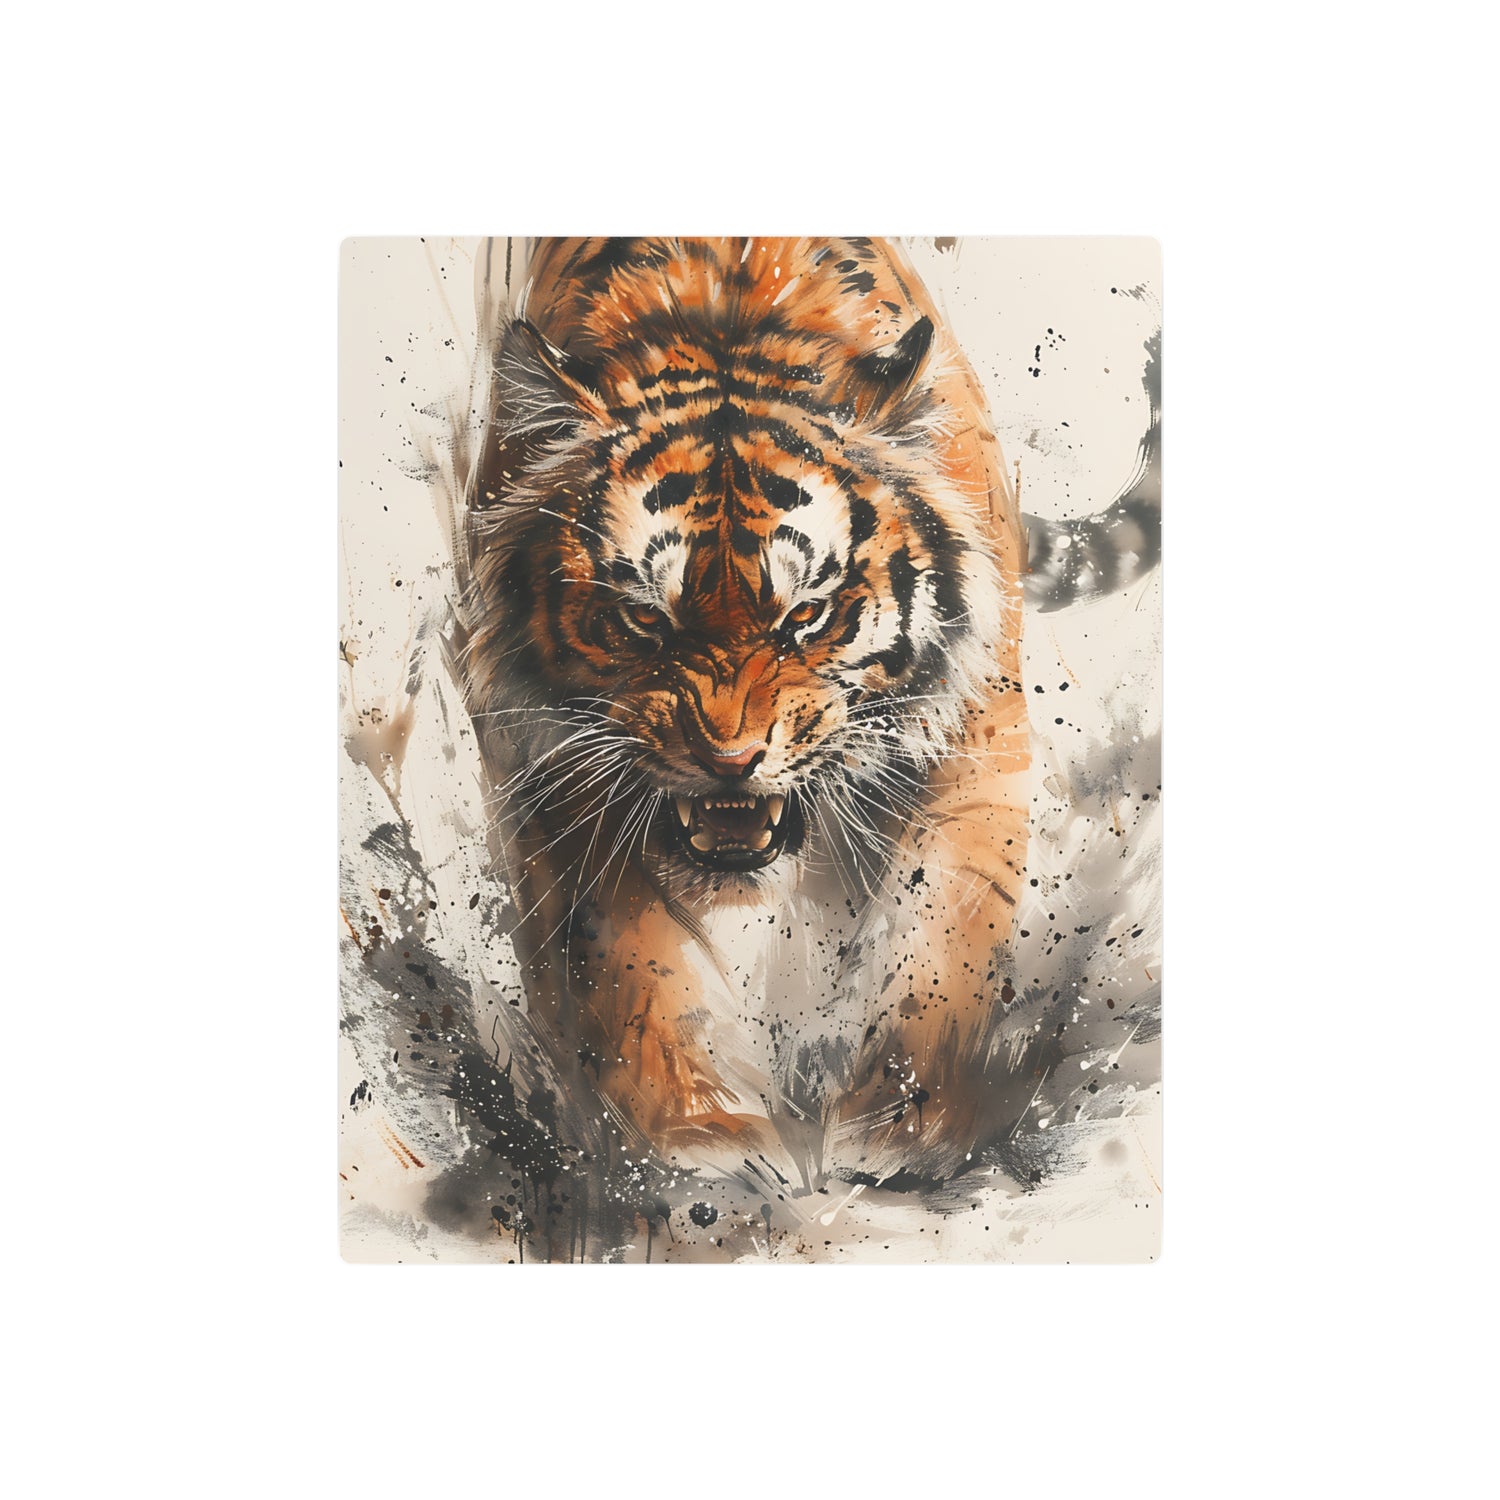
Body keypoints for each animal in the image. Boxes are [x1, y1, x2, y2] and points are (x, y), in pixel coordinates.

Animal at [456, 237, 1033, 1191]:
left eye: (807, 615)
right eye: (645, 619)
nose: (729, 759)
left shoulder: (973, 736)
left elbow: (938, 935)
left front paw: (899, 1126)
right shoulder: (557, 768)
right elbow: (632, 963)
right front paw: (699, 1138)